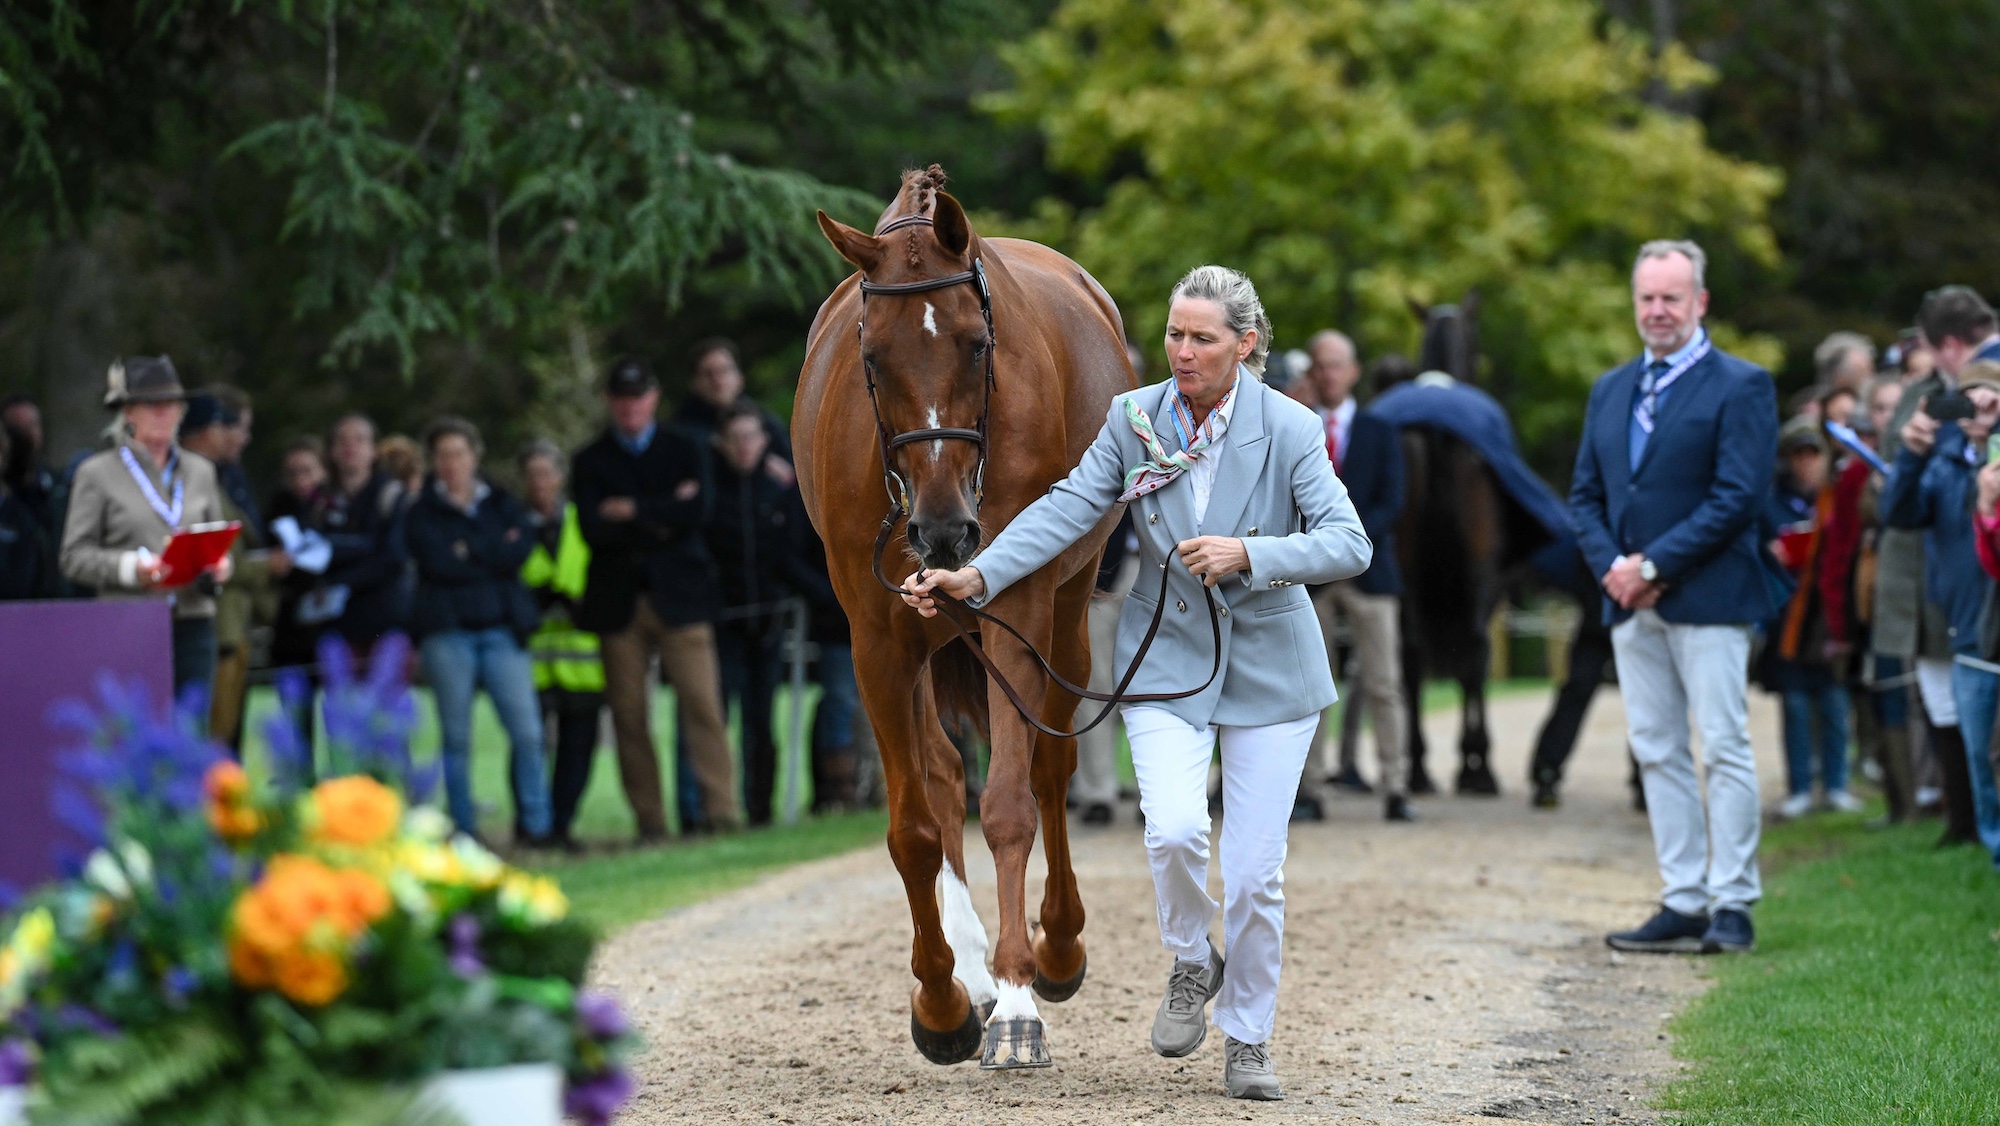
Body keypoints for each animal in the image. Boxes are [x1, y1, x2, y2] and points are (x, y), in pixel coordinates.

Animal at [793, 165, 1133, 1071]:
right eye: (873, 358)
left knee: (1050, 769)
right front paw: (944, 1002)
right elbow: (914, 826)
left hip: (1068, 618)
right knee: (944, 777)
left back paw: (1055, 948)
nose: (944, 528)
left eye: (978, 345)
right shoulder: (876, 638)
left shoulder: (1015, 606)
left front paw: (1018, 996)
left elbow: (1011, 801)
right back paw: (971, 969)